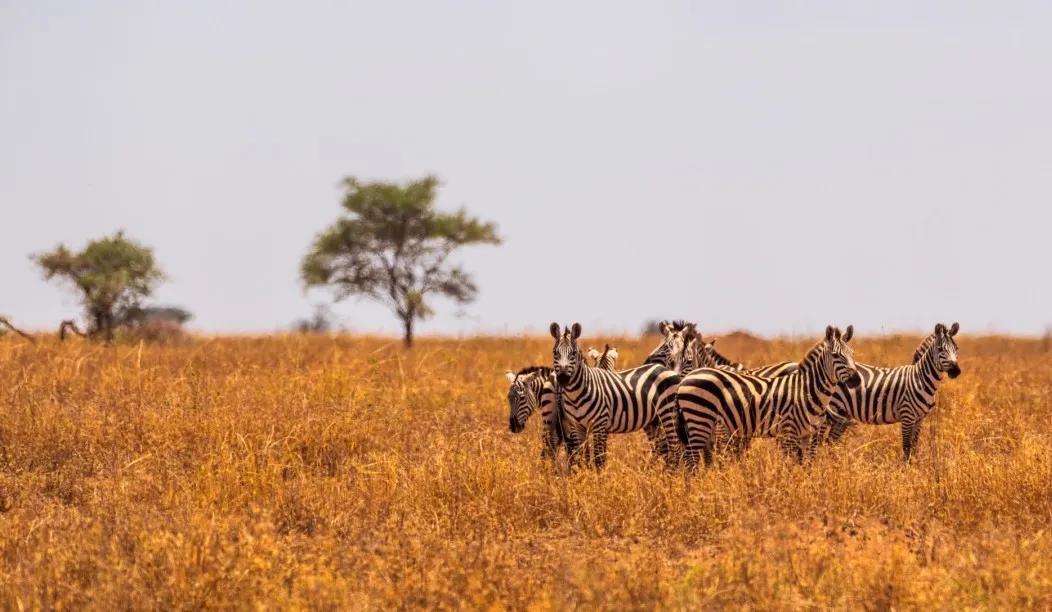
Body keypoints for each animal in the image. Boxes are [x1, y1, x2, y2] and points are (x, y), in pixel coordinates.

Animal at [551, 321, 681, 471]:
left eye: (573, 353)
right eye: (555, 353)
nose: (563, 378)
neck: (575, 395)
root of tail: (665, 369)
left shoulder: (600, 424)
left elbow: (599, 459)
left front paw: (599, 477)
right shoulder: (578, 426)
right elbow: (583, 456)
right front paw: (584, 474)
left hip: (668, 413)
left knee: (675, 448)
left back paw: (673, 475)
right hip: (653, 420)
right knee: (664, 449)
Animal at [673, 325, 862, 471]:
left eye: (852, 353)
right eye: (836, 355)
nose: (857, 379)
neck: (806, 389)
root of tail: (684, 380)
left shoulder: (807, 434)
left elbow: (804, 465)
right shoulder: (789, 431)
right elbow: (791, 465)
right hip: (699, 419)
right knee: (691, 459)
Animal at [820, 323, 963, 462]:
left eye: (956, 348)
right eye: (940, 349)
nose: (956, 371)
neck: (920, 379)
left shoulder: (919, 419)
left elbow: (914, 446)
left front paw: (914, 466)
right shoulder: (907, 416)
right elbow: (907, 447)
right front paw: (906, 468)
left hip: (842, 413)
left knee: (830, 441)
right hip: (830, 408)